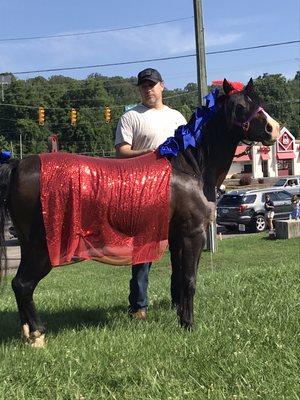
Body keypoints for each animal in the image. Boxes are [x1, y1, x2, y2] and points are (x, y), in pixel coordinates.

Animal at [0, 79, 278, 346]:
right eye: (241, 107)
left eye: (259, 103)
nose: (272, 130)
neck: (189, 167)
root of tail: (18, 165)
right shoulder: (193, 234)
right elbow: (189, 279)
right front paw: (189, 325)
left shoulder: (176, 236)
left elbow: (179, 279)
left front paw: (180, 317)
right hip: (43, 247)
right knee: (23, 284)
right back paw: (38, 335)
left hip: (28, 245)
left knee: (18, 284)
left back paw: (27, 333)